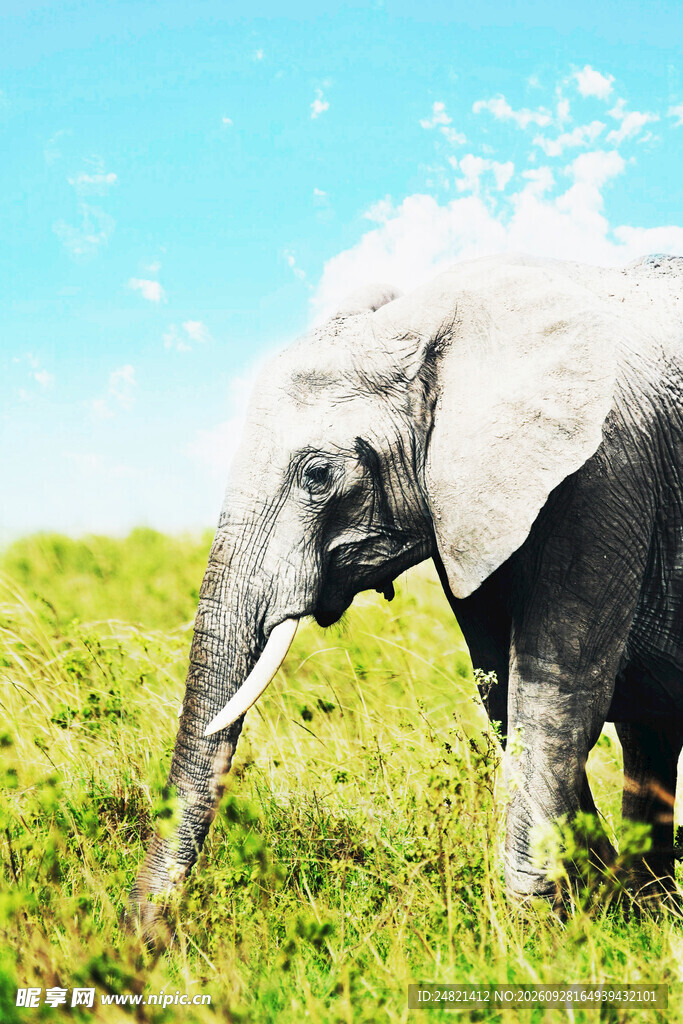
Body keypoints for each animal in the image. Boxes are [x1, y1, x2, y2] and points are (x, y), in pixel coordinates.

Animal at [130, 253, 683, 930]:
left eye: (319, 475)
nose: (143, 938)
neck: (430, 321)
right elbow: (501, 689)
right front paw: (596, 897)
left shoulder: (606, 472)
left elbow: (555, 688)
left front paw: (535, 927)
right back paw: (650, 900)